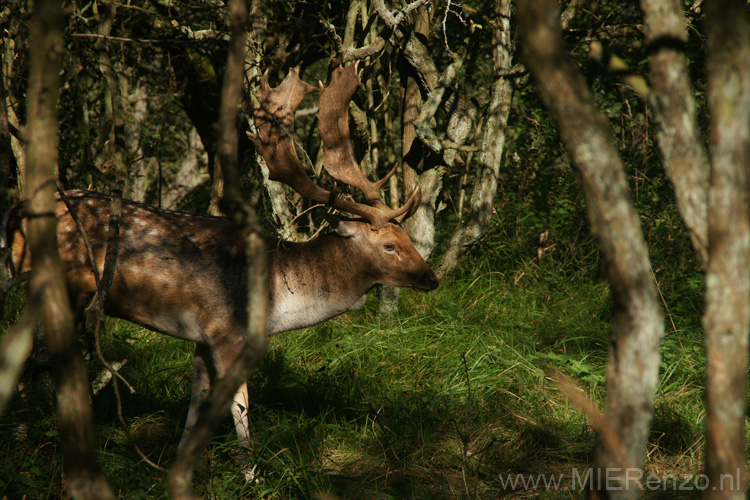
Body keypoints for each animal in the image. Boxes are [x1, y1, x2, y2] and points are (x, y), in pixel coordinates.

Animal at [2, 64, 440, 452]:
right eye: (389, 245)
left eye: (406, 235)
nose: (431, 278)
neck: (277, 299)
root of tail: (15, 212)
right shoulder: (227, 331)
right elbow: (240, 407)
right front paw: (252, 473)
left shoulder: (202, 338)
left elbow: (196, 405)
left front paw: (184, 461)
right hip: (56, 287)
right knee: (26, 358)